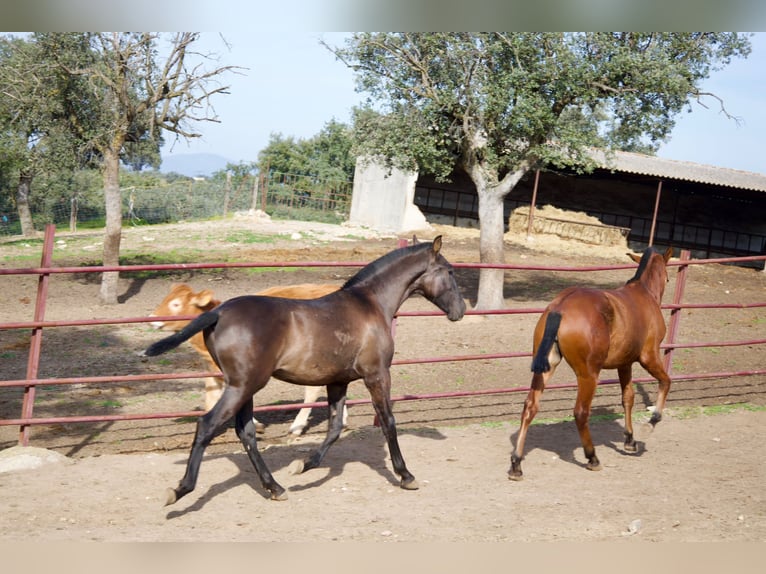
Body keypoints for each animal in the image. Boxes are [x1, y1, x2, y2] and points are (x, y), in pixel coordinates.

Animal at [150, 284, 348, 436]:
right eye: (166, 298)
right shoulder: (214, 372)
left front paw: (257, 425)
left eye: (176, 304)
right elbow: (210, 399)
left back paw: (297, 426)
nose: (152, 318)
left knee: (312, 391)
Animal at [512, 248, 676, 482]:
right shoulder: (649, 357)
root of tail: (560, 307)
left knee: (530, 407)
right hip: (588, 374)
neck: (643, 293)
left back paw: (516, 463)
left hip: (545, 369)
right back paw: (592, 458)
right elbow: (666, 381)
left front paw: (630, 440)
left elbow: (628, 398)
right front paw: (652, 421)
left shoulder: (624, 363)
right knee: (581, 412)